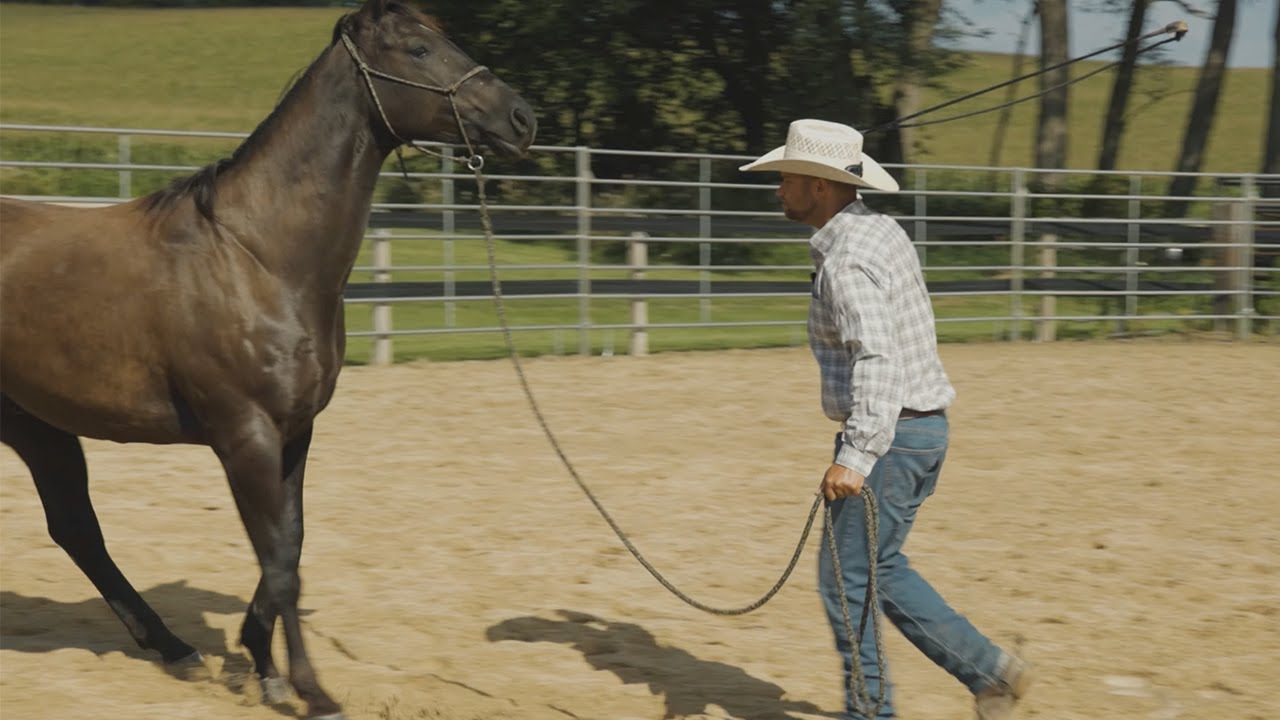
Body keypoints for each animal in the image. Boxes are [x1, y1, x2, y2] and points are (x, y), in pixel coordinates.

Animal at [0, 1, 535, 717]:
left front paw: (260, 661)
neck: (262, 258)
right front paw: (311, 690)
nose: (520, 118)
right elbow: (280, 563)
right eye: (419, 49)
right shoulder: (244, 435)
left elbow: (289, 547)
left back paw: (176, 649)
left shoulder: (294, 431)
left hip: (38, 425)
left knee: (76, 529)